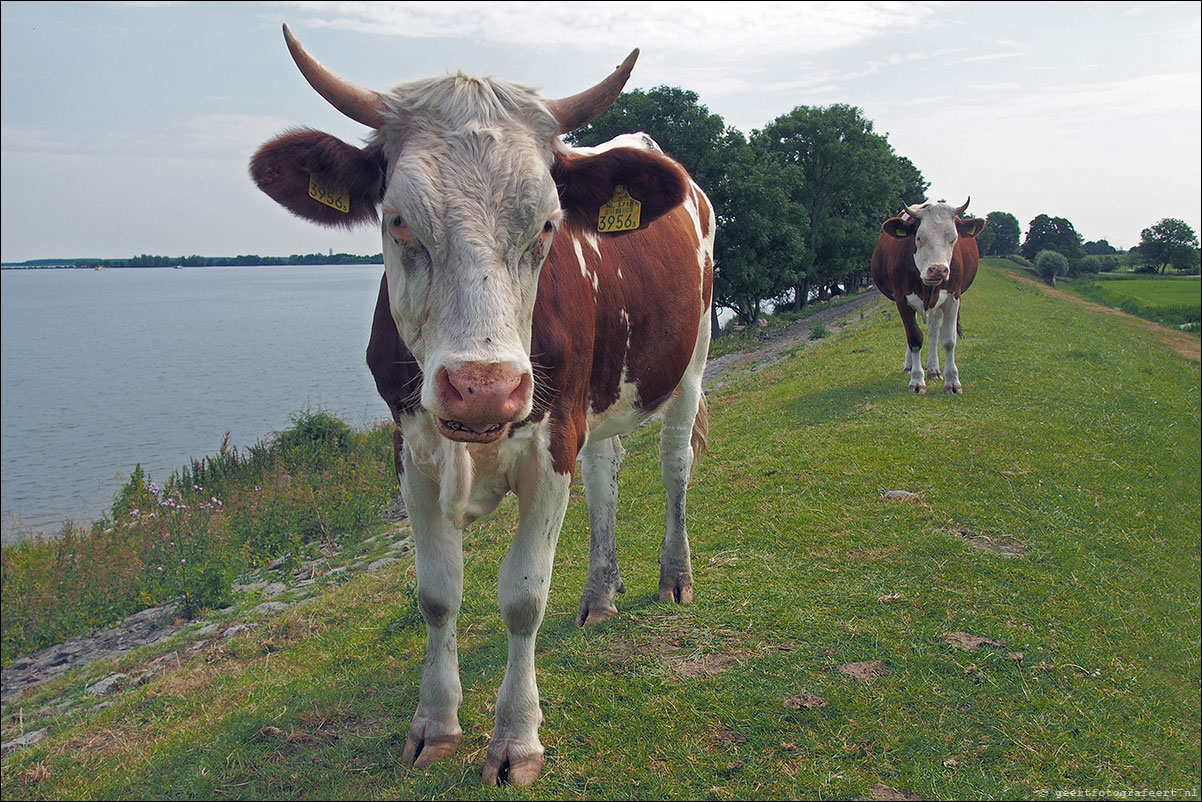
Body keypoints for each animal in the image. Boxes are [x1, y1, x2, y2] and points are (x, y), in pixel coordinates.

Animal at [248, 26, 706, 788]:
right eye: (398, 219)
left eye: (548, 224)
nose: (485, 386)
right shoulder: (412, 451)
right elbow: (438, 592)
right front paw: (434, 725)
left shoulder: (552, 443)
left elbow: (522, 596)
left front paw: (516, 740)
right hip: (601, 405)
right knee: (606, 477)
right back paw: (600, 594)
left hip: (689, 366)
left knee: (674, 464)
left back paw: (674, 577)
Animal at [875, 200, 985, 394]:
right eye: (919, 237)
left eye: (953, 238)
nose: (938, 270)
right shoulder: (902, 299)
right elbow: (914, 338)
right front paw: (917, 381)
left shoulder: (953, 298)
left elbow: (948, 340)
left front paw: (953, 382)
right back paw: (910, 365)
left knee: (934, 331)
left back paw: (933, 368)